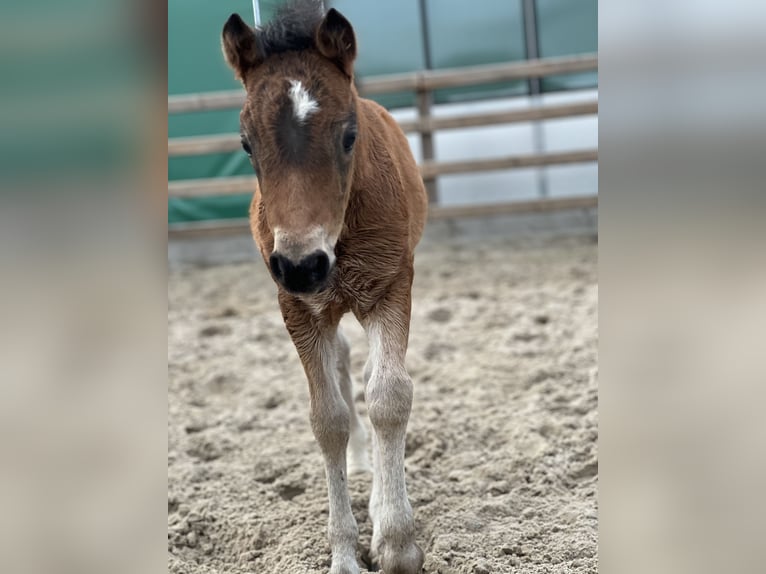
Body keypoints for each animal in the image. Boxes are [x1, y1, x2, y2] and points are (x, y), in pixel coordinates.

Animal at [221, 2, 427, 572]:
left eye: (349, 135)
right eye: (246, 144)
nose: (302, 265)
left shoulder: (392, 285)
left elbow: (388, 396)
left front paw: (395, 542)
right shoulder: (298, 308)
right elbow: (327, 418)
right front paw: (345, 553)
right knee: (340, 363)